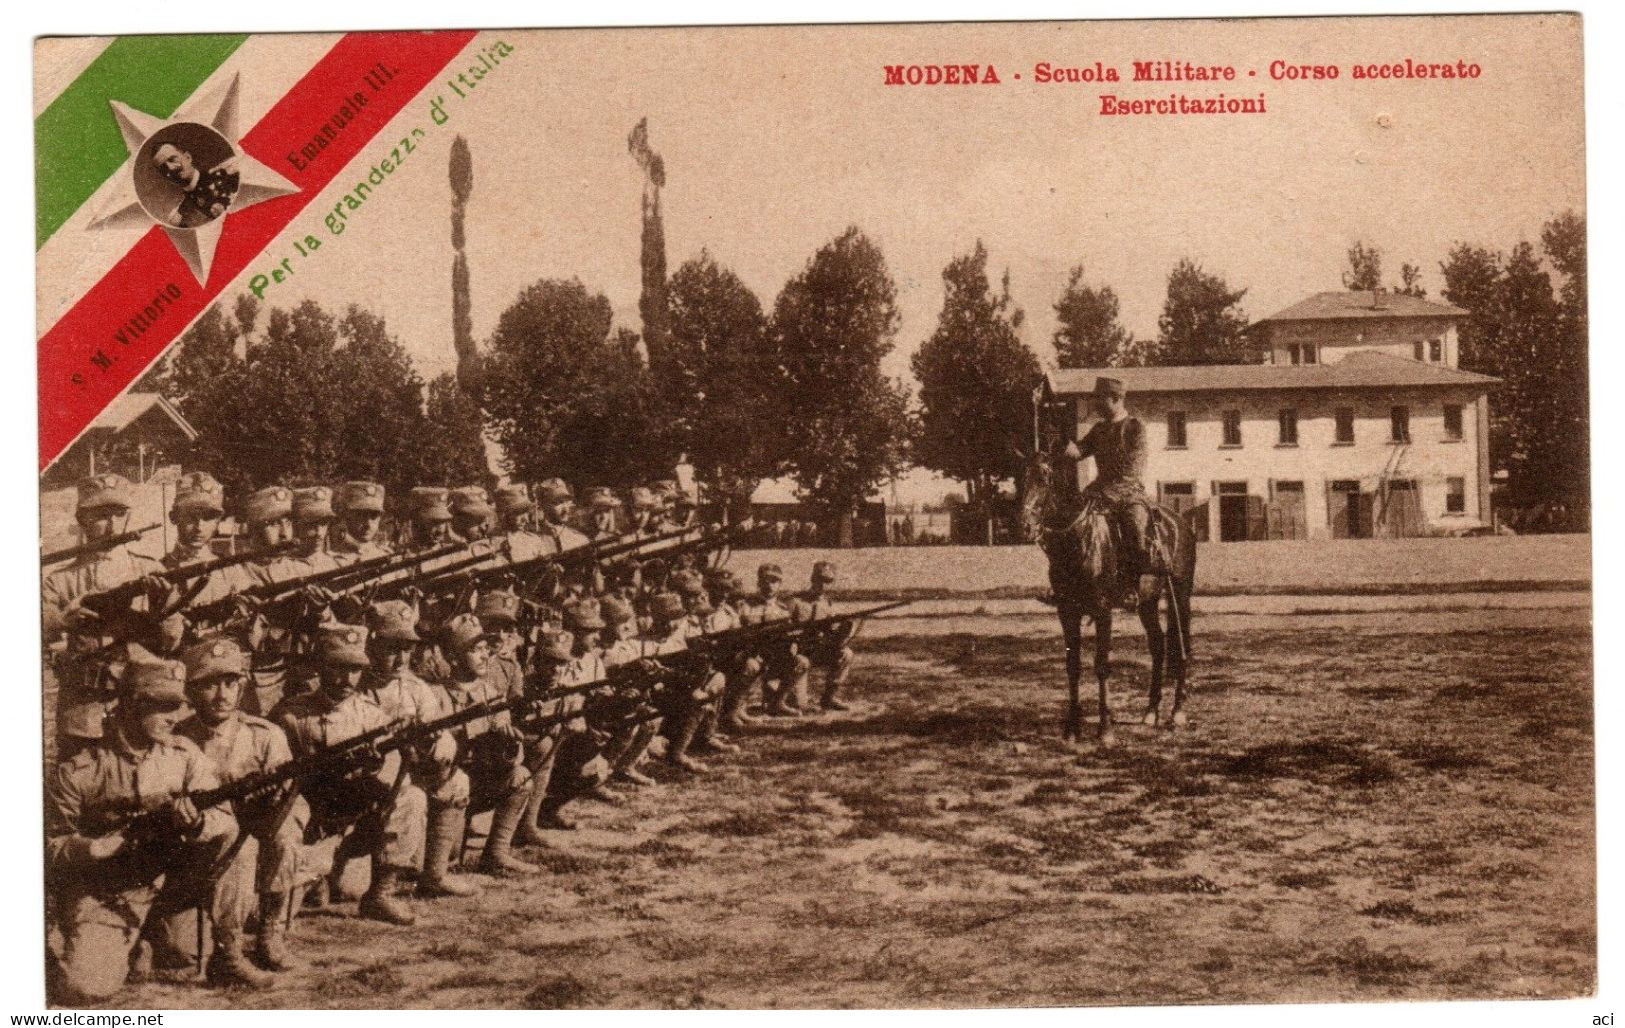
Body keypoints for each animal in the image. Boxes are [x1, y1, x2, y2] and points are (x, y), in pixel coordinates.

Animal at [1020, 451, 1202, 740]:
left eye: (1046, 478)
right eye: (1023, 477)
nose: (1026, 526)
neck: (1079, 539)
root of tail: (1179, 522)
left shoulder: (1102, 610)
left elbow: (1102, 665)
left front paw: (1105, 728)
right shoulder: (1067, 612)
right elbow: (1073, 665)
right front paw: (1072, 728)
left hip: (1181, 595)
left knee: (1183, 645)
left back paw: (1177, 712)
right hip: (1147, 602)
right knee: (1158, 644)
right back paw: (1151, 712)